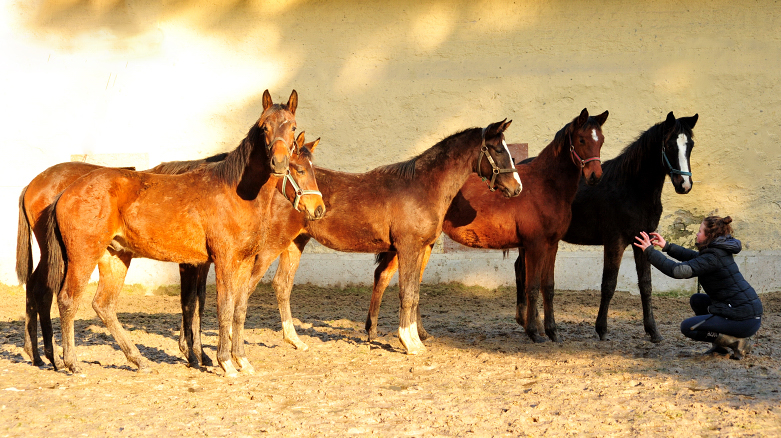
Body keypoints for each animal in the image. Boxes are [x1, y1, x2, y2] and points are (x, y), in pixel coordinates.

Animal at [36, 90, 322, 376]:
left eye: (292, 126)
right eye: (264, 126)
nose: (279, 163)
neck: (235, 192)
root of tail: (68, 190)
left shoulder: (244, 260)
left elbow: (239, 309)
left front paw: (242, 360)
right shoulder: (223, 260)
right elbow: (223, 308)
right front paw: (225, 362)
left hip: (115, 256)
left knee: (103, 305)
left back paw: (139, 360)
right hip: (83, 256)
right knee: (68, 300)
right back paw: (72, 363)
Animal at [366, 108, 608, 342]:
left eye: (601, 140)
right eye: (582, 139)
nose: (595, 176)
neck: (546, 186)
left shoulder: (552, 245)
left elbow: (548, 287)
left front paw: (553, 332)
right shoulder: (535, 245)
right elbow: (531, 287)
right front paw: (533, 332)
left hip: (424, 245)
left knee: (408, 281)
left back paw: (415, 333)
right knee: (383, 276)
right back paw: (375, 330)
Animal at [556, 112, 696, 342]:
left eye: (690, 145)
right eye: (669, 145)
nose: (684, 185)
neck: (631, 189)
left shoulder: (643, 240)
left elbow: (646, 285)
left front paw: (653, 331)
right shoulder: (615, 241)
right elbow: (609, 284)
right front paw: (602, 329)